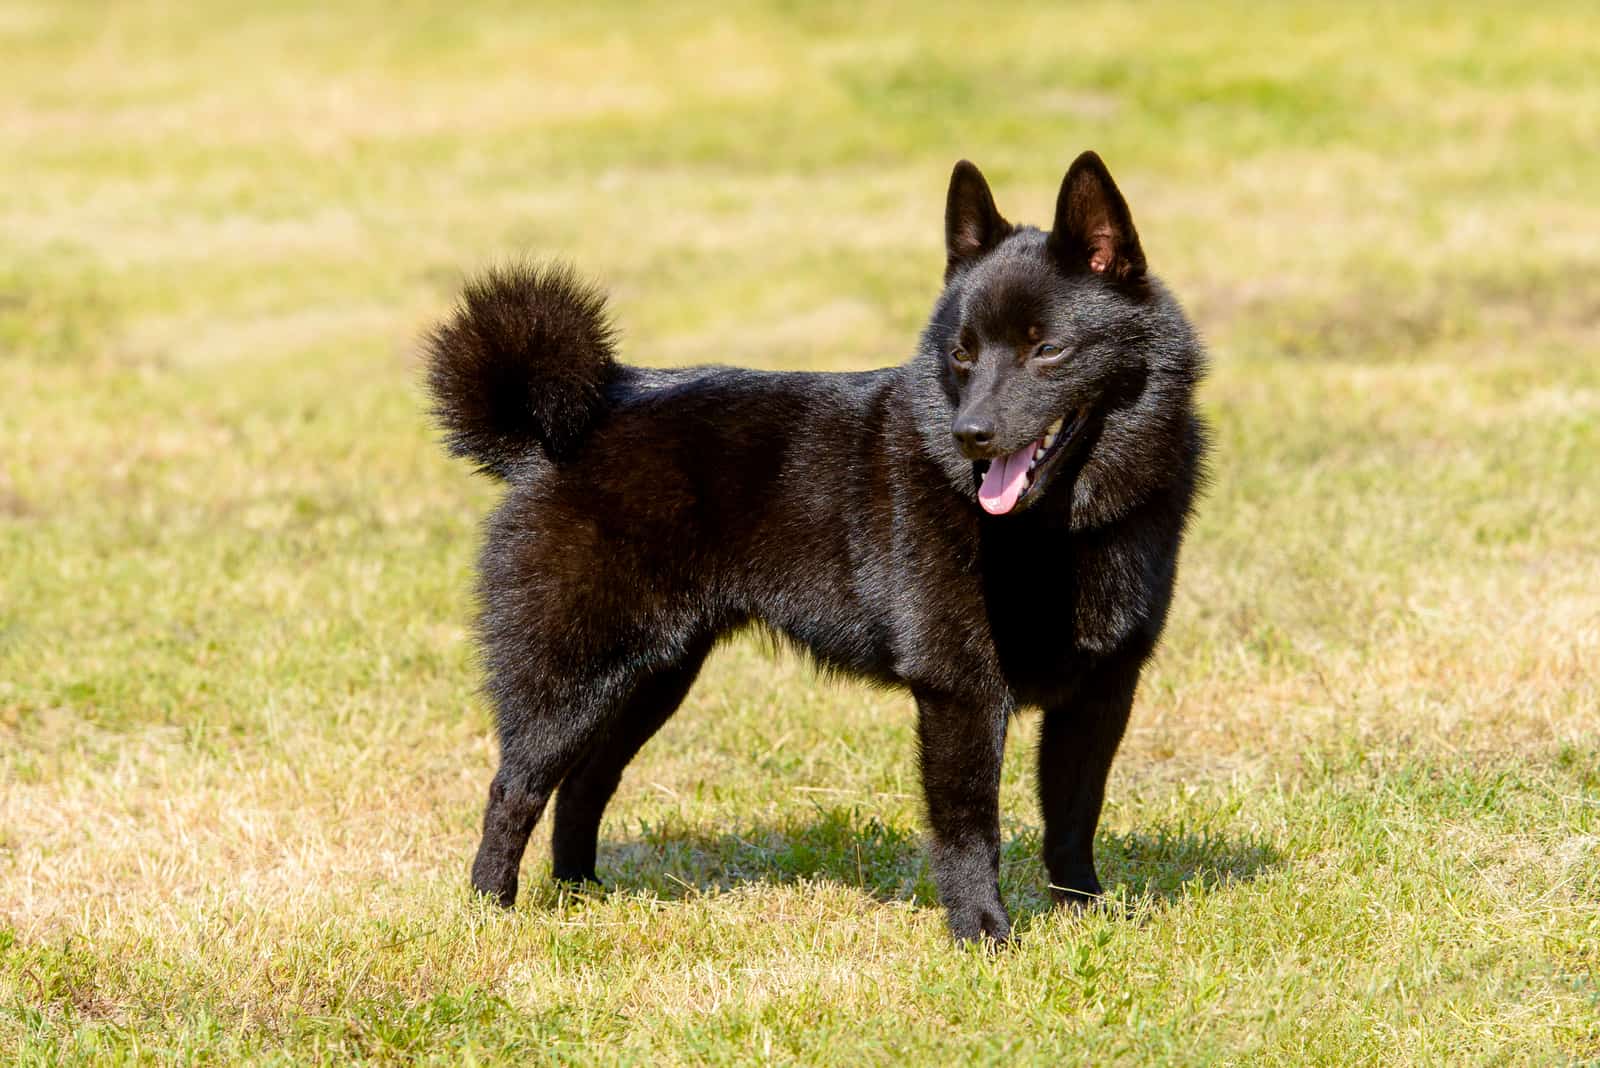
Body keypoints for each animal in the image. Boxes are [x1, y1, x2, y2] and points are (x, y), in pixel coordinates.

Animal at [432, 151, 1203, 940]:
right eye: (962, 354)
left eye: (1047, 349)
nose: (971, 435)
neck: (1057, 530)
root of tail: (560, 428)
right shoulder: (960, 689)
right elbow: (969, 830)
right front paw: (983, 934)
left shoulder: (1102, 691)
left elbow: (1074, 817)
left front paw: (1087, 916)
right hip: (574, 674)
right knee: (516, 788)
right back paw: (490, 912)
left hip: (653, 675)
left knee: (586, 781)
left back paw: (582, 892)